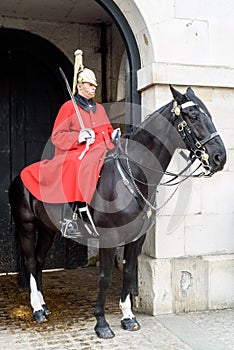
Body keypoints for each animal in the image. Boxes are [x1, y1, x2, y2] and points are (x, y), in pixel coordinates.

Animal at [9, 85, 227, 340]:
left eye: (208, 114)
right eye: (193, 117)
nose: (220, 157)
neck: (135, 173)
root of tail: (19, 175)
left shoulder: (137, 237)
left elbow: (129, 271)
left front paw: (128, 316)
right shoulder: (108, 238)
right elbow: (105, 277)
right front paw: (101, 323)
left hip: (47, 229)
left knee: (40, 260)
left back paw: (43, 305)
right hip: (26, 225)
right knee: (30, 261)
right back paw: (36, 309)